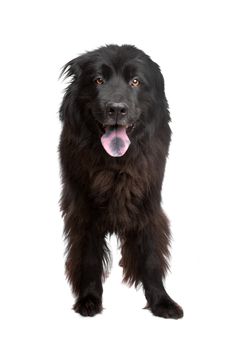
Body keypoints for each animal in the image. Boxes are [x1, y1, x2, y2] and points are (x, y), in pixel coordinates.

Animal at [59, 44, 183, 320]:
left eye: (135, 81)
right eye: (98, 80)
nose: (116, 108)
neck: (116, 166)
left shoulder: (148, 204)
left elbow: (150, 256)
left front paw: (162, 302)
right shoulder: (83, 209)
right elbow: (89, 257)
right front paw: (89, 300)